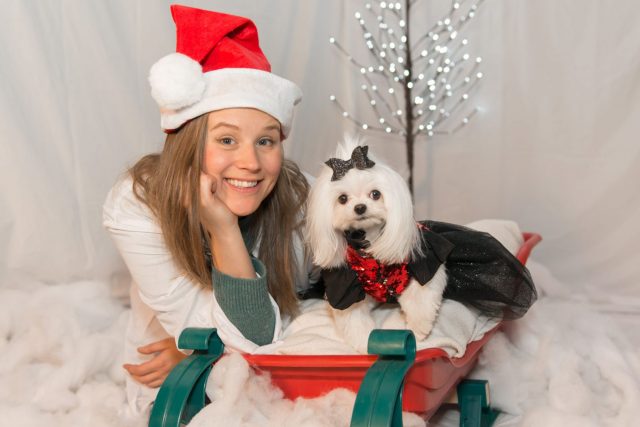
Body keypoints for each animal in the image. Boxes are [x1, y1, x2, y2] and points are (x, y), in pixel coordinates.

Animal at [306, 140, 450, 354]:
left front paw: (418, 330)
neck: (369, 241)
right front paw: (366, 342)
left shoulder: (424, 261)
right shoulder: (345, 285)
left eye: (375, 194)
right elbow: (354, 318)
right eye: (342, 199)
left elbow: (420, 298)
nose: (360, 207)